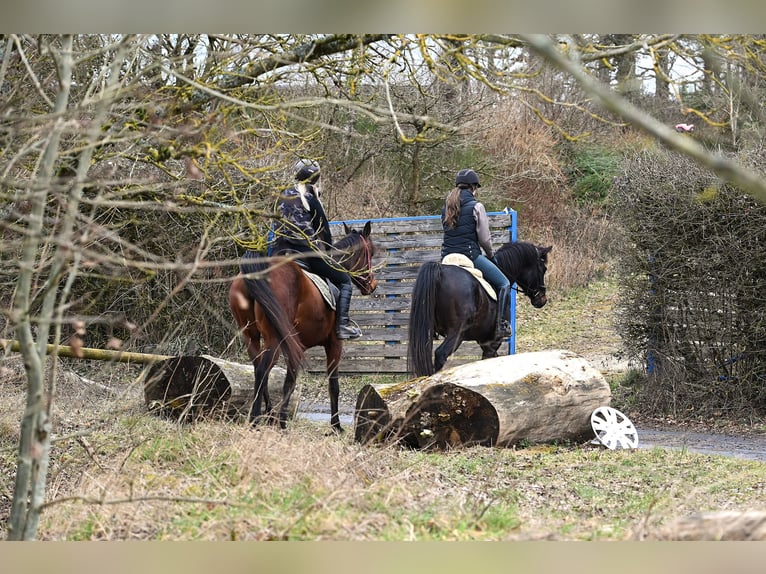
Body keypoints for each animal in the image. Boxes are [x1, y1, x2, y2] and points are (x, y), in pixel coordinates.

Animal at [230, 222, 380, 432]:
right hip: (273, 340)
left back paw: (268, 414)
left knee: (259, 370)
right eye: (371, 252)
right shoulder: (334, 343)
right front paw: (336, 426)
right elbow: (333, 385)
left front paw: (280, 420)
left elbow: (290, 381)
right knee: (262, 371)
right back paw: (255, 420)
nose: (372, 285)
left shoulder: (292, 345)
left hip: (251, 336)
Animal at [408, 242, 552, 378]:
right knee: (440, 354)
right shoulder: (492, 342)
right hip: (456, 334)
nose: (542, 300)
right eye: (544, 269)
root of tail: (440, 271)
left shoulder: (483, 341)